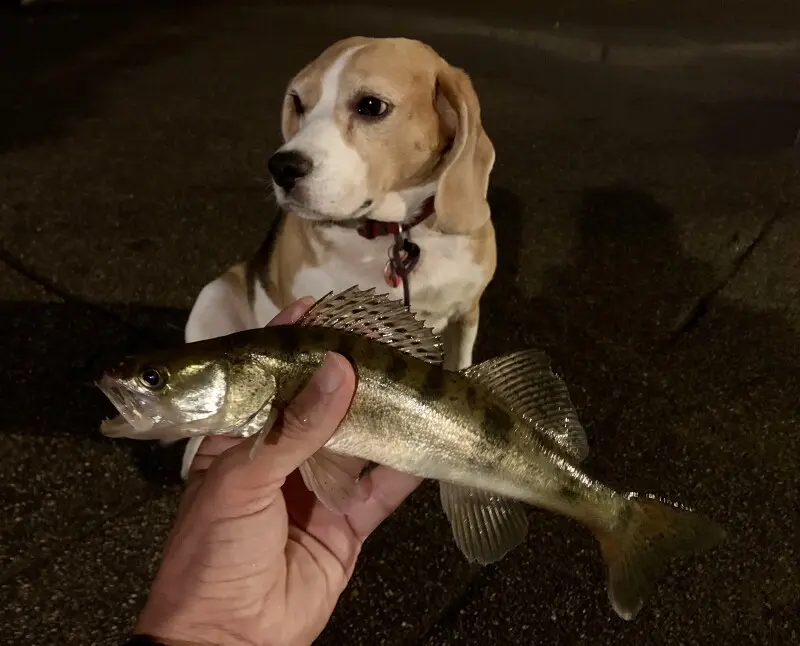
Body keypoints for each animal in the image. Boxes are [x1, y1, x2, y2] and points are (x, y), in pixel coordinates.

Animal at [180, 36, 496, 480]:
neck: (394, 234)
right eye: (297, 102)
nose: (281, 167)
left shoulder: (467, 313)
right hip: (214, 296)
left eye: (371, 106)